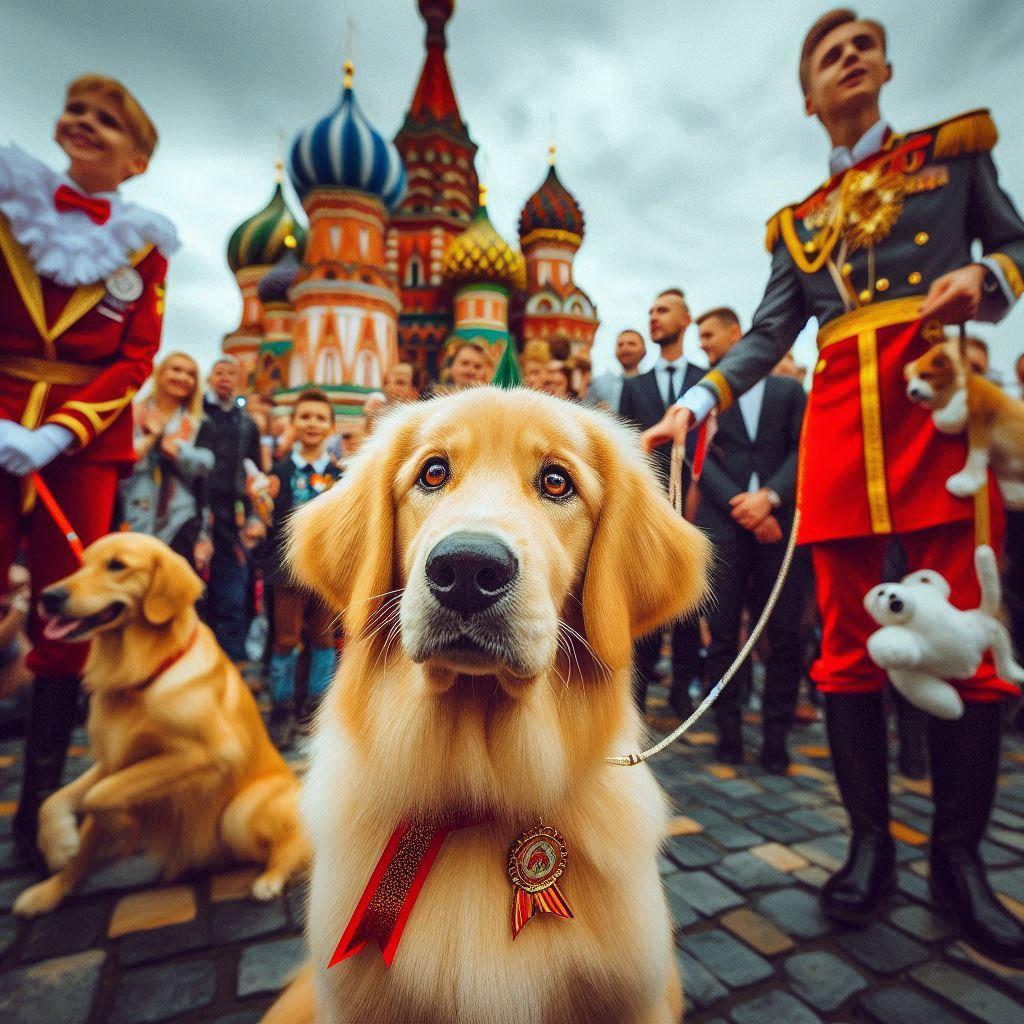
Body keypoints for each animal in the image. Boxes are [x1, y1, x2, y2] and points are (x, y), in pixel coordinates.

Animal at [12, 536, 307, 921]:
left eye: (117, 565)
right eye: (81, 564)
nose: (49, 596)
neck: (141, 677)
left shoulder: (208, 754)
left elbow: (99, 797)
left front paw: (117, 826)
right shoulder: (114, 760)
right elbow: (57, 802)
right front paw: (55, 865)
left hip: (239, 813)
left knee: (296, 844)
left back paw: (270, 879)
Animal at [905, 339, 1024, 507]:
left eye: (925, 376)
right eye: (909, 380)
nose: (912, 392)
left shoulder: (979, 414)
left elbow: (974, 455)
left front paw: (966, 482)